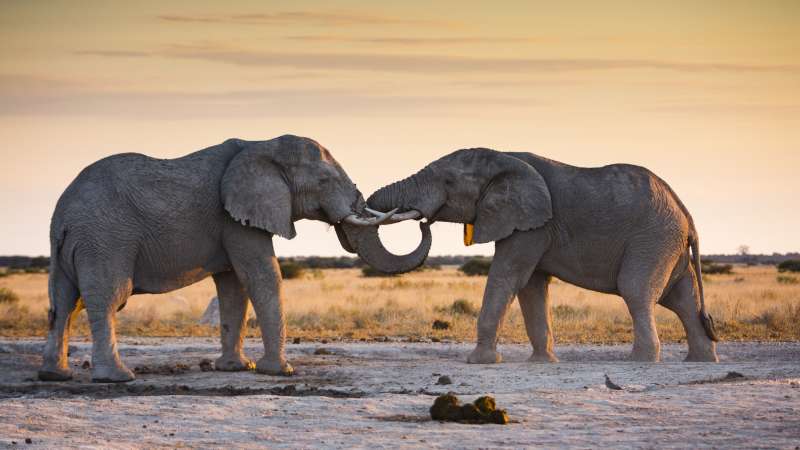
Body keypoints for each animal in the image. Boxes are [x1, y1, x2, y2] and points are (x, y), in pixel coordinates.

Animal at [38, 135, 428, 383]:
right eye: (323, 180)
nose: (423, 220)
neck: (262, 145)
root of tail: (63, 215)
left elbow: (233, 287)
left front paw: (236, 369)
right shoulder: (235, 217)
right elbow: (262, 276)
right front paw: (279, 372)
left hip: (73, 246)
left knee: (64, 302)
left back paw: (55, 376)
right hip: (105, 238)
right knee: (109, 297)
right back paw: (117, 379)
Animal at [367, 148, 719, 363]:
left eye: (448, 182)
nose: (424, 222)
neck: (503, 157)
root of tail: (686, 215)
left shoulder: (532, 225)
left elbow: (508, 276)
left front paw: (479, 362)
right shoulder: (530, 225)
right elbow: (531, 286)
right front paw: (543, 361)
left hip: (652, 239)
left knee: (636, 290)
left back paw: (640, 361)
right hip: (667, 243)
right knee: (682, 298)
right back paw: (700, 360)